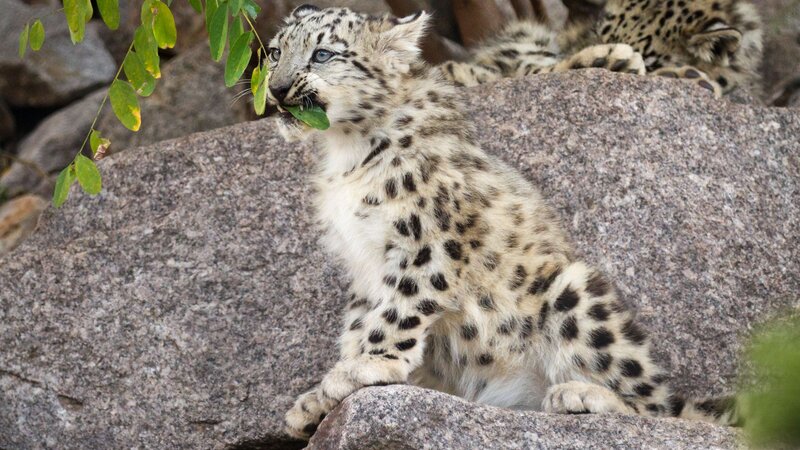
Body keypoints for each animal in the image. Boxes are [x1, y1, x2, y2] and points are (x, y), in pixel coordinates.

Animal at [267, 5, 743, 440]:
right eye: (274, 53)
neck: (345, 151)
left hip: (574, 293)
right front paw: (319, 399)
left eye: (323, 54)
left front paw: (365, 367)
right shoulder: (363, 265)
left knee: (659, 409)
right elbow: (359, 322)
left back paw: (582, 395)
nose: (276, 87)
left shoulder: (430, 242)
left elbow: (398, 311)